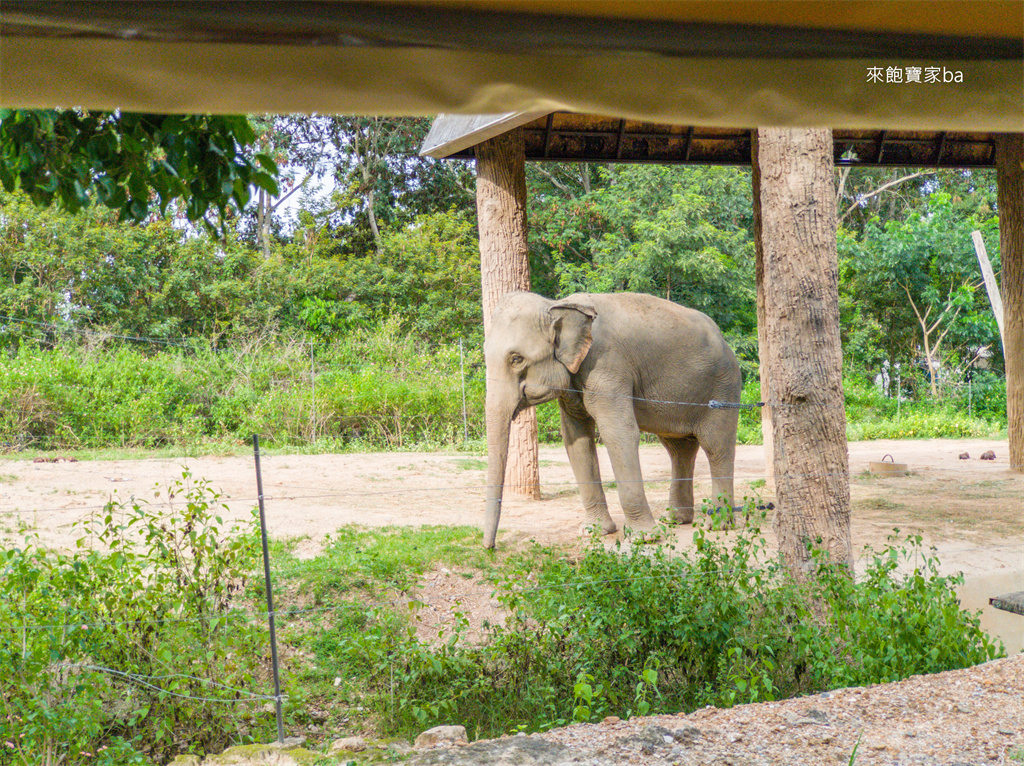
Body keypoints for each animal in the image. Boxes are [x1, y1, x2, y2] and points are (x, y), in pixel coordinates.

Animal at [483, 290, 741, 548]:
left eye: (516, 359)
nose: (491, 547)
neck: (556, 305)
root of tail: (725, 341)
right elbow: (576, 440)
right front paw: (593, 531)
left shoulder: (608, 367)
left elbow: (619, 433)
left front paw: (644, 538)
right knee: (679, 449)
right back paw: (675, 519)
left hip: (724, 387)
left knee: (716, 447)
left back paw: (717, 525)